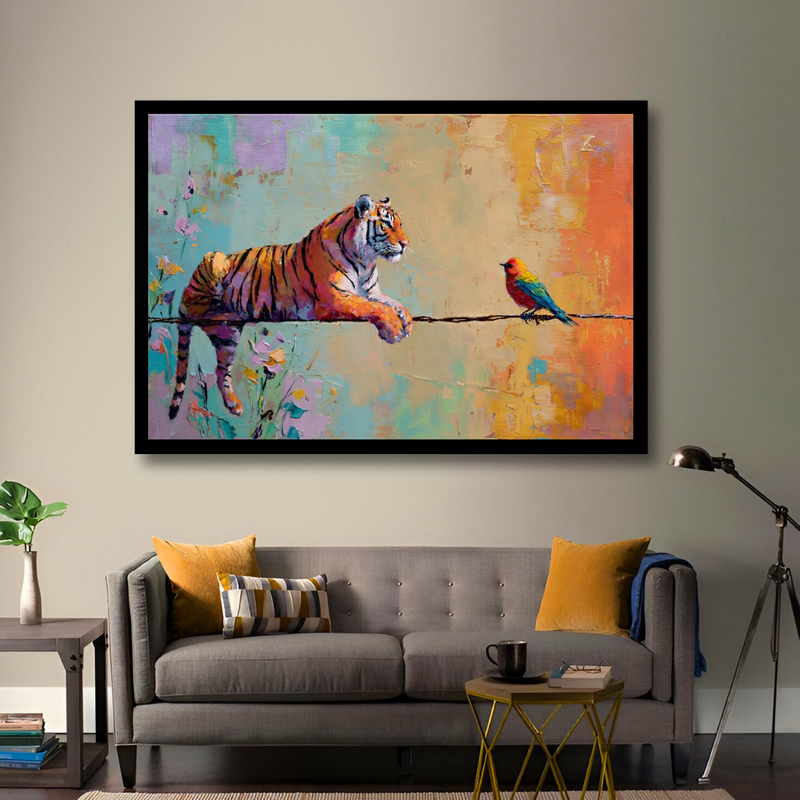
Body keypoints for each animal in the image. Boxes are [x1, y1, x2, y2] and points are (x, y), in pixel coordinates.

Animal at [168, 194, 412, 420]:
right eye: (387, 224)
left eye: (401, 224)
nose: (405, 244)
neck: (365, 261)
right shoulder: (335, 299)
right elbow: (371, 308)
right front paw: (392, 327)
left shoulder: (372, 293)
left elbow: (390, 303)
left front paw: (406, 321)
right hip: (212, 265)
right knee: (195, 307)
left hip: (227, 338)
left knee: (221, 372)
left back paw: (234, 406)